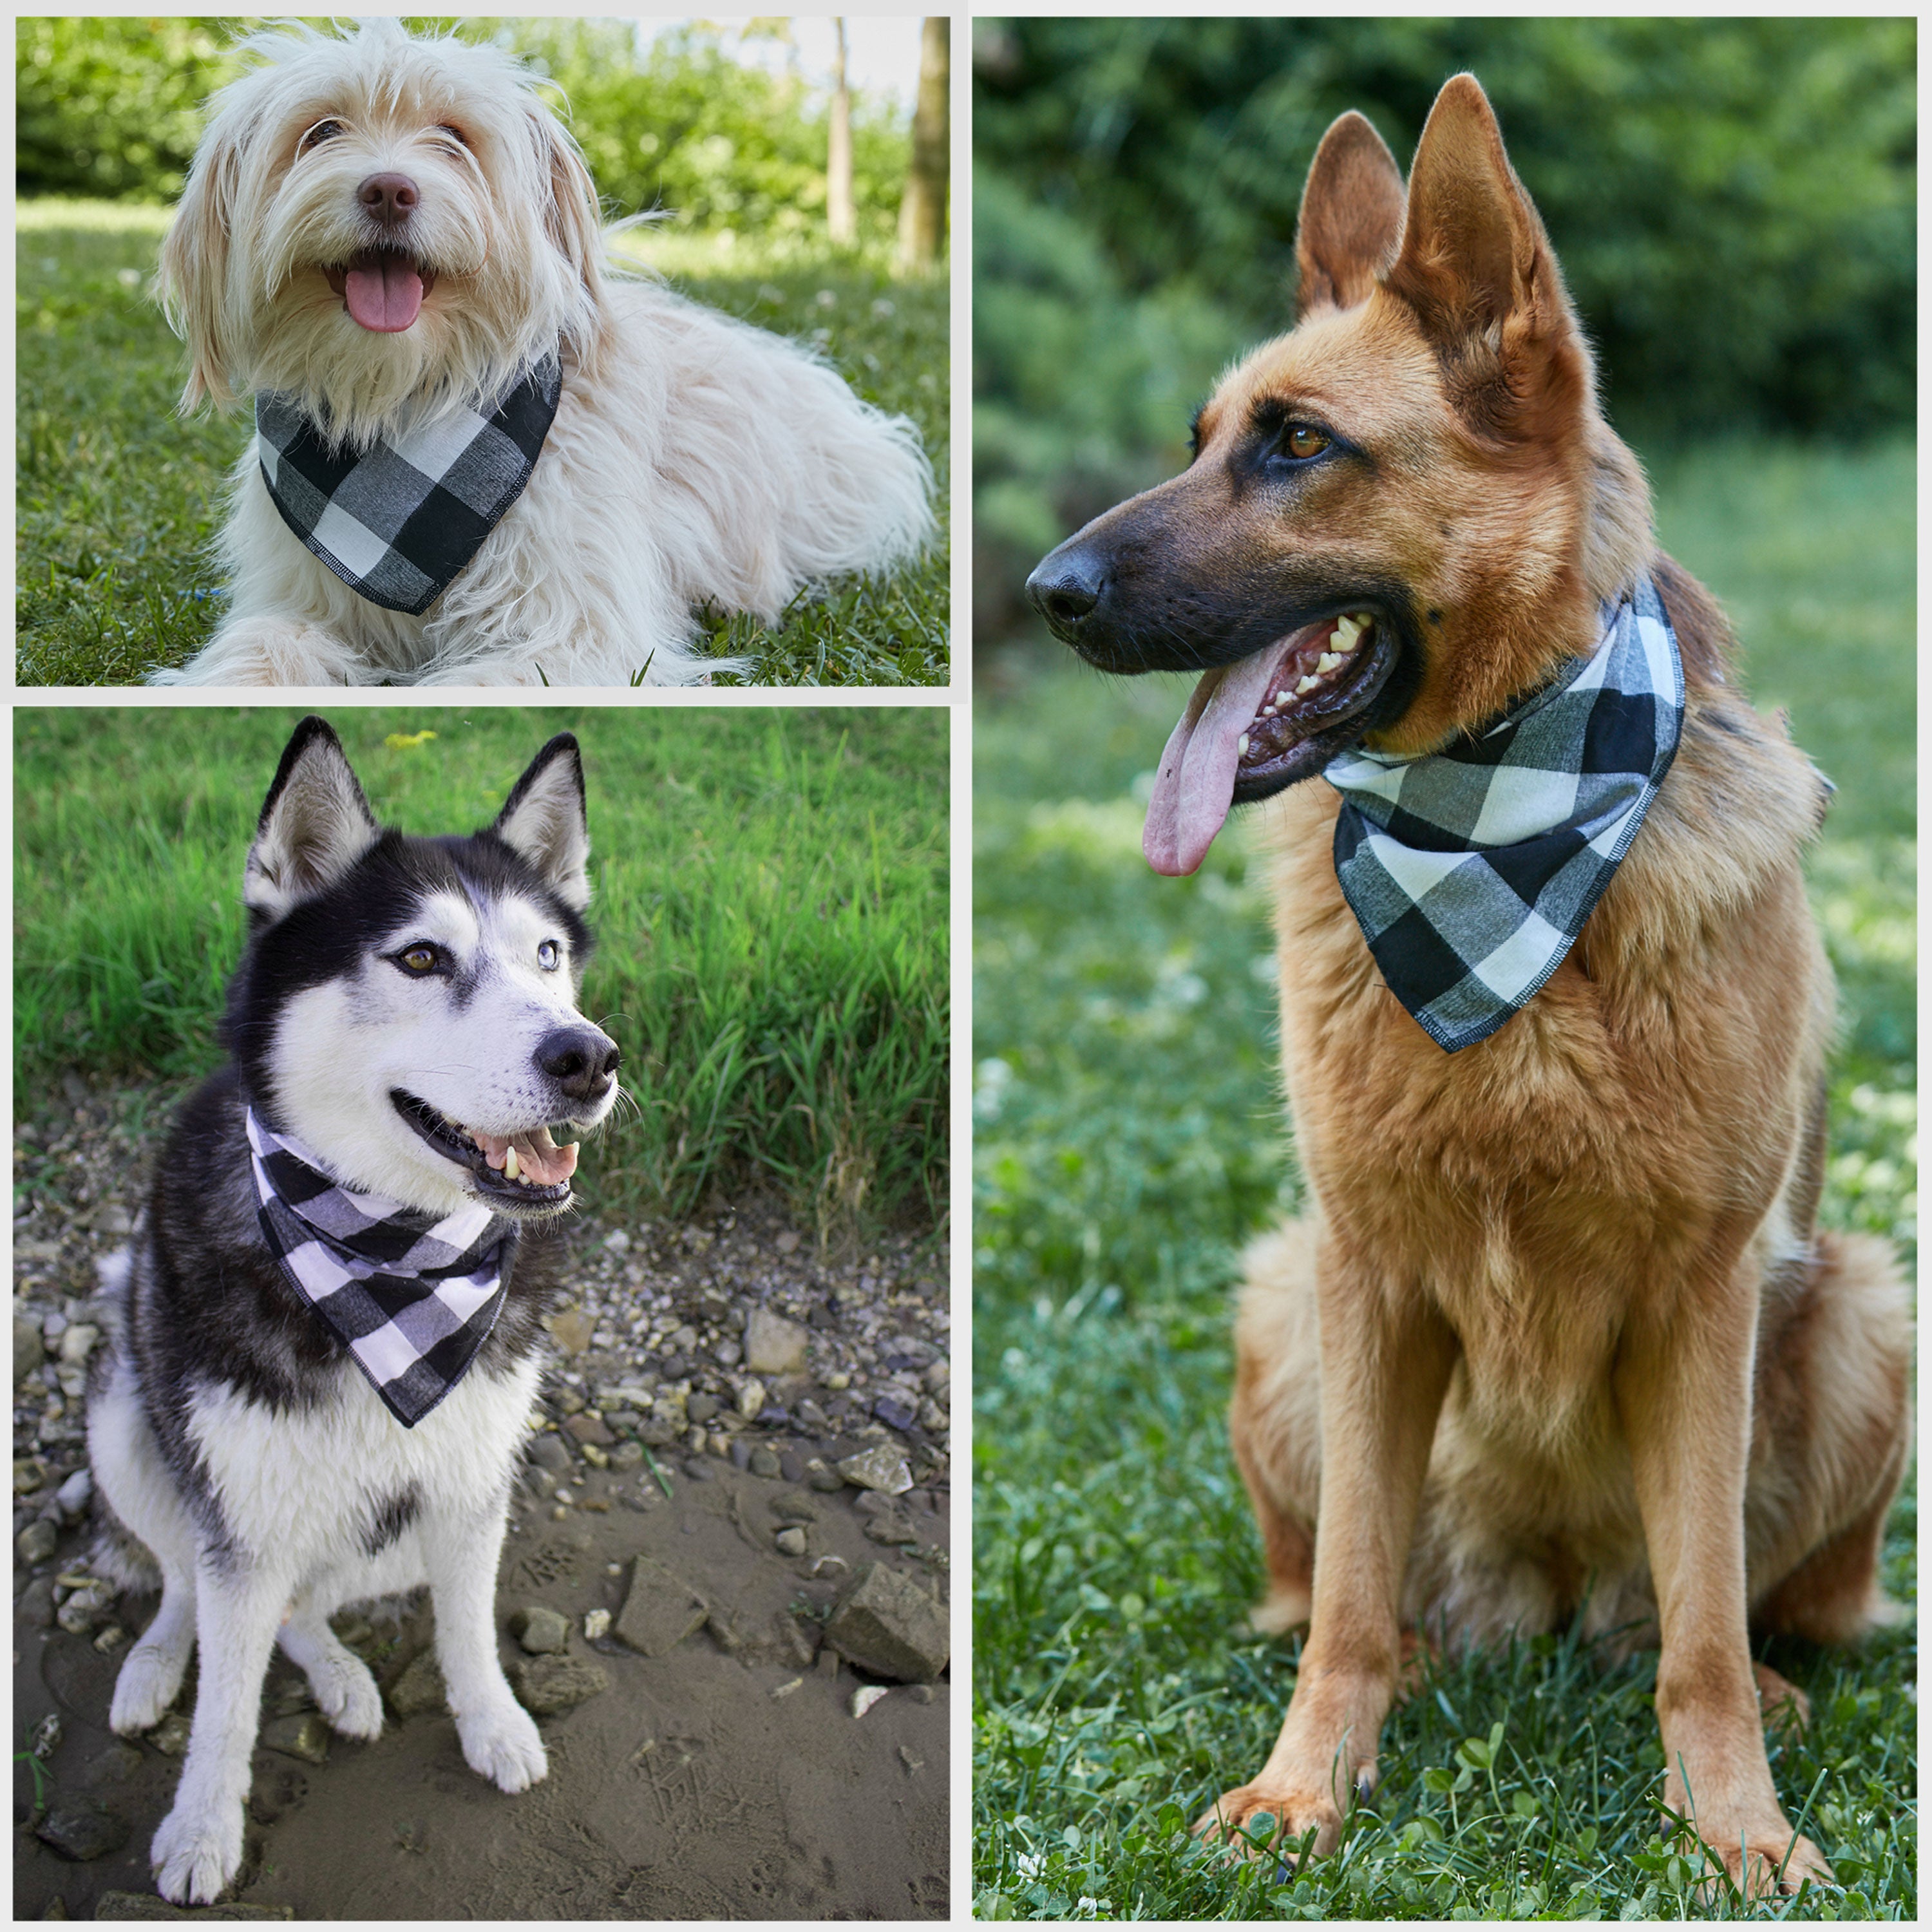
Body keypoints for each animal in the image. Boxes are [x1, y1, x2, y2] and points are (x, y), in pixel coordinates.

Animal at [89, 715, 618, 1901]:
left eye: (547, 957)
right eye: (420, 958)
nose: (589, 1057)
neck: (389, 1270)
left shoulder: (472, 1482)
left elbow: (466, 1632)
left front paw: (493, 1725)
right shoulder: (236, 1513)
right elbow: (225, 1699)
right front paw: (203, 1829)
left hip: (385, 1525)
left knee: (304, 1607)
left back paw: (338, 1677)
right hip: (125, 1428)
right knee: (190, 1584)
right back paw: (156, 1667)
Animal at [153, 19, 935, 688]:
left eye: (453, 137)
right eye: (321, 132)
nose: (389, 190)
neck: (402, 413)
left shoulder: (574, 629)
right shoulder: (300, 604)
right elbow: (261, 649)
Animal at [1036, 79, 1909, 1901]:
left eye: (1298, 446)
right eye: (1203, 435)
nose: (1042, 597)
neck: (1502, 852)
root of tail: (1549, 1587)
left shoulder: (1707, 1294)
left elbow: (1705, 1638)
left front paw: (1733, 1826)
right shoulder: (1366, 1274)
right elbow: (1347, 1607)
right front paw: (1304, 1790)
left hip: (1866, 1311)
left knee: (1727, 1610)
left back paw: (1776, 1685)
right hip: (1279, 1302)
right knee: (1331, 1585)